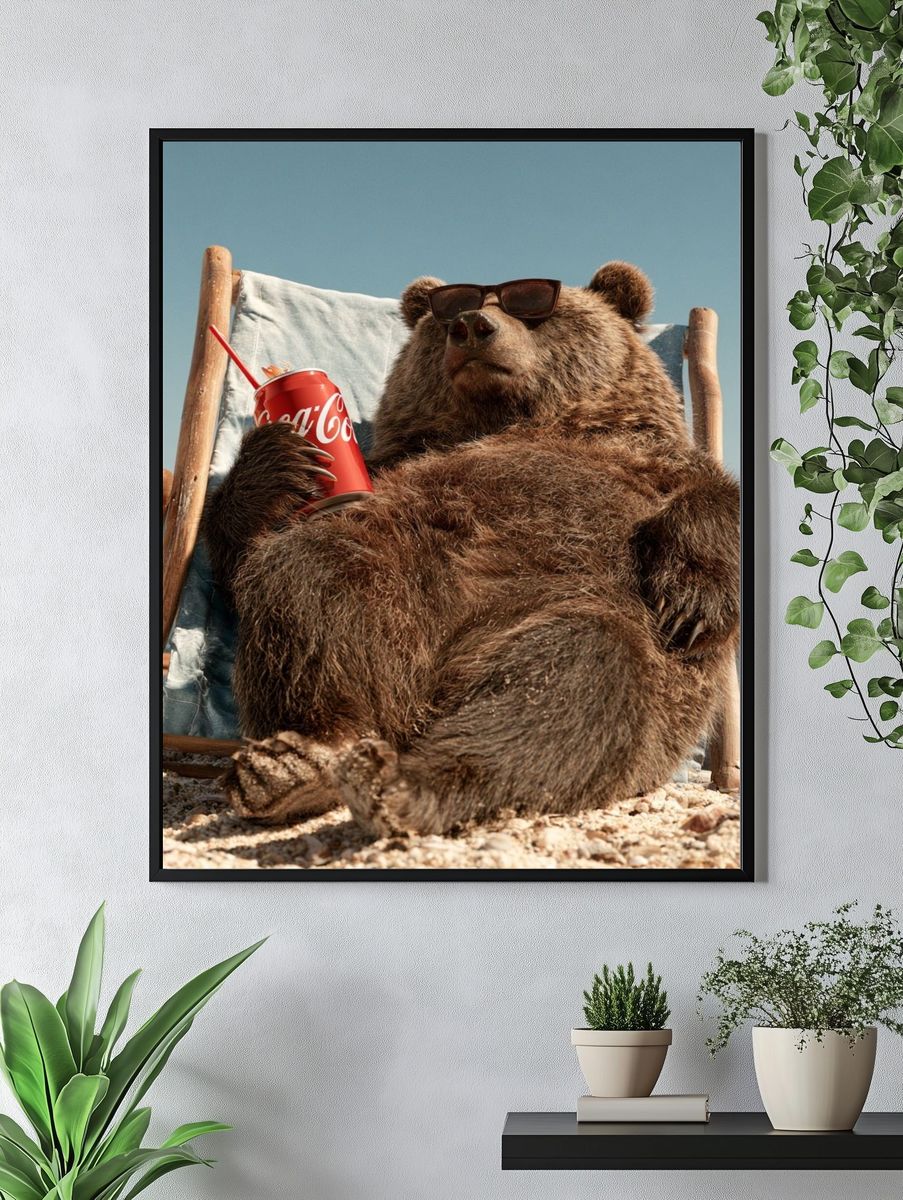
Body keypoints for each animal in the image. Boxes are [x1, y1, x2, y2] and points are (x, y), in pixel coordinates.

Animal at [203, 262, 740, 836]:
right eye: (450, 310)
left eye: (534, 304)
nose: (472, 325)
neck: (511, 418)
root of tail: (424, 697)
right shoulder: (391, 466)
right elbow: (244, 556)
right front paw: (279, 456)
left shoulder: (648, 462)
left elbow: (718, 504)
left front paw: (690, 601)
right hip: (395, 595)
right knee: (309, 578)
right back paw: (294, 764)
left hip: (594, 644)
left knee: (574, 676)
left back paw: (402, 784)